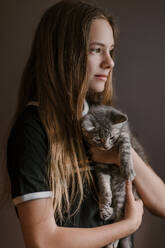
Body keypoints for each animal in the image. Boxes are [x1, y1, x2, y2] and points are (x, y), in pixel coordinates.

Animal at [81, 104, 147, 248]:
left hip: (121, 189)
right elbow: (104, 183)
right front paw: (105, 198)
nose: (106, 147)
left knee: (121, 217)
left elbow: (125, 149)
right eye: (98, 139)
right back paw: (106, 211)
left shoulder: (125, 135)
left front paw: (127, 169)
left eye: (111, 137)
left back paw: (112, 240)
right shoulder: (100, 166)